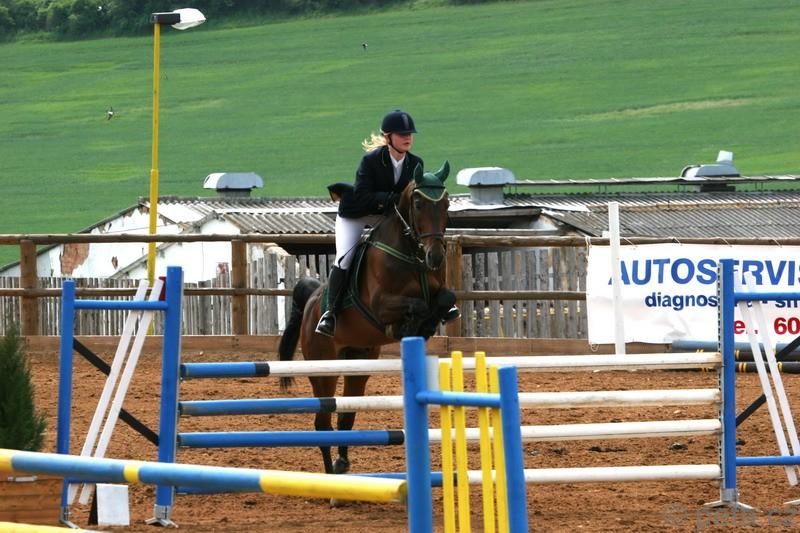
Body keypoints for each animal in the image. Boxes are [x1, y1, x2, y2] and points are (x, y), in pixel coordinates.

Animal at [277, 161, 456, 475]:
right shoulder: (380, 304)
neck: (412, 254)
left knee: (346, 416)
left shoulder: (438, 290)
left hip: (358, 362)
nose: (435, 257)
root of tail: (311, 300)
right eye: (418, 204)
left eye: (446, 204)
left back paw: (342, 462)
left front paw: (427, 324)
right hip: (322, 367)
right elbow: (418, 305)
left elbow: (445, 299)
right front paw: (409, 326)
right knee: (322, 423)